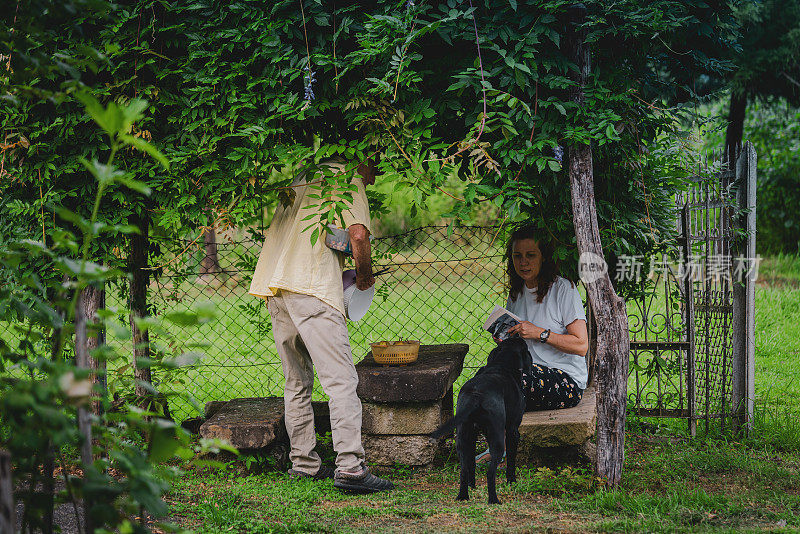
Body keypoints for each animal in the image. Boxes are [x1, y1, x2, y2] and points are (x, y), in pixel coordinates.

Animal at [432, 340, 532, 506]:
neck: (501, 365)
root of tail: (476, 395)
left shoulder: (473, 435)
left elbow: (471, 464)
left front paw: (472, 486)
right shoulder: (513, 431)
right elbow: (511, 461)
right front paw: (511, 481)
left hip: (462, 438)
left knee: (464, 469)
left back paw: (463, 496)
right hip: (497, 439)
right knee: (490, 472)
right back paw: (494, 500)